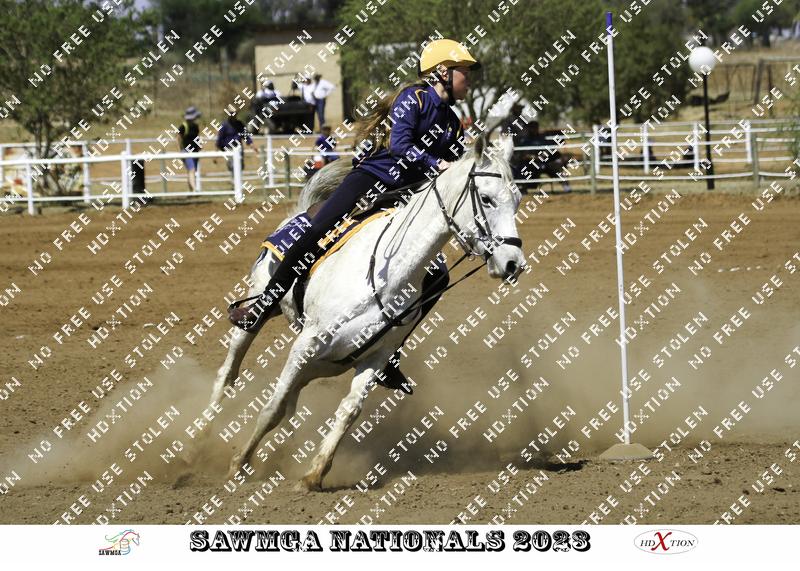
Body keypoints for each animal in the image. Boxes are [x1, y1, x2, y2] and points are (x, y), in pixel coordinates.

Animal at [199, 134, 527, 491]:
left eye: (518, 199)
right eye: (487, 198)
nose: (513, 263)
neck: (385, 272)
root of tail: (302, 212)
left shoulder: (376, 356)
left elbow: (349, 411)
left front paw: (313, 474)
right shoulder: (306, 343)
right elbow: (273, 407)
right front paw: (239, 464)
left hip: (329, 363)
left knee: (294, 397)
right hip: (259, 313)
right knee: (229, 372)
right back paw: (200, 440)